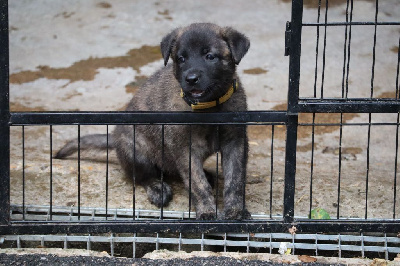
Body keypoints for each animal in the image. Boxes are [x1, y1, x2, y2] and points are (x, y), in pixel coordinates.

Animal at [55, 22, 252, 219]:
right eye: (181, 59)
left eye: (209, 56)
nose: (191, 79)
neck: (209, 107)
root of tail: (115, 137)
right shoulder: (185, 149)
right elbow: (197, 184)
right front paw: (207, 211)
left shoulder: (236, 142)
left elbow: (235, 180)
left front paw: (236, 210)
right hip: (136, 149)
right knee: (143, 176)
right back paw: (158, 188)